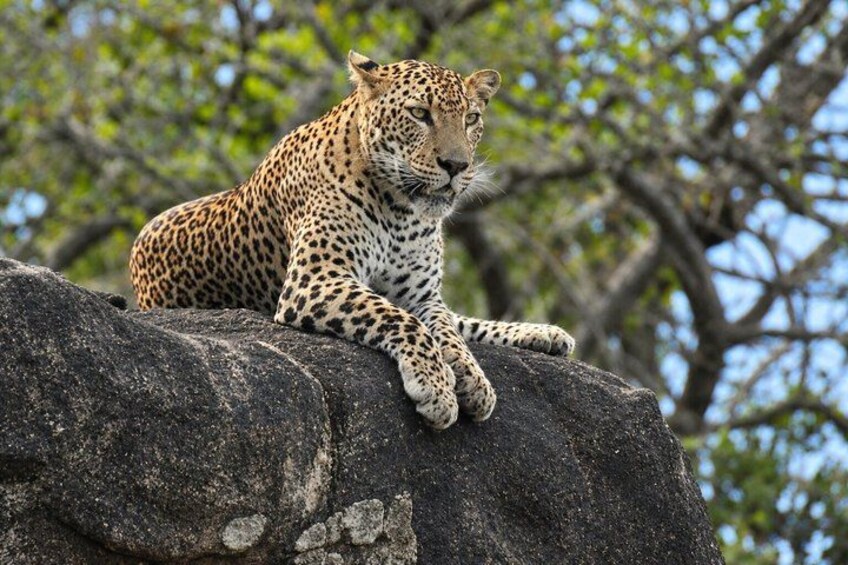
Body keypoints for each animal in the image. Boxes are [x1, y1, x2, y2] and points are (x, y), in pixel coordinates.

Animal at [130, 50, 575, 430]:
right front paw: (436, 385)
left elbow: (445, 330)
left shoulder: (423, 295)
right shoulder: (316, 279)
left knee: (462, 320)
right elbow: (401, 320)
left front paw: (473, 380)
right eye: (420, 114)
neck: (401, 211)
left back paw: (548, 335)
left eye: (471, 119)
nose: (456, 165)